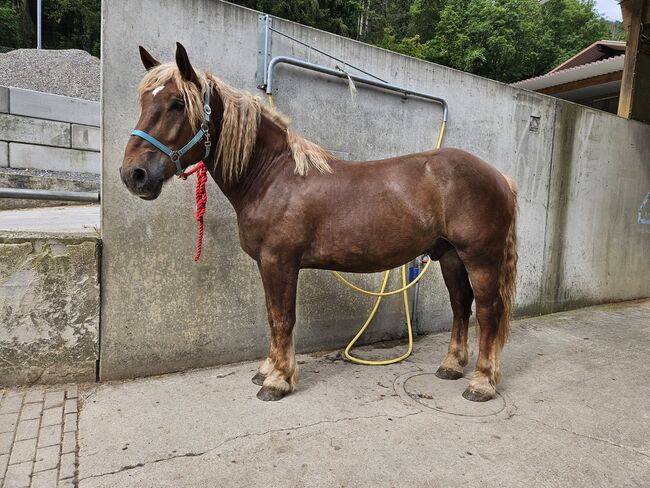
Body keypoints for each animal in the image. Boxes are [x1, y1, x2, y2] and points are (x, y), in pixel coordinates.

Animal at [120, 43, 516, 404]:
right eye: (144, 103)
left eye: (177, 104)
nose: (134, 175)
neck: (272, 176)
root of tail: (500, 177)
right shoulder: (268, 264)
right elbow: (272, 315)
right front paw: (267, 370)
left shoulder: (279, 261)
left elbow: (282, 318)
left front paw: (277, 380)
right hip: (449, 256)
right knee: (461, 306)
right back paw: (451, 366)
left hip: (480, 258)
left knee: (488, 312)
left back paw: (481, 383)